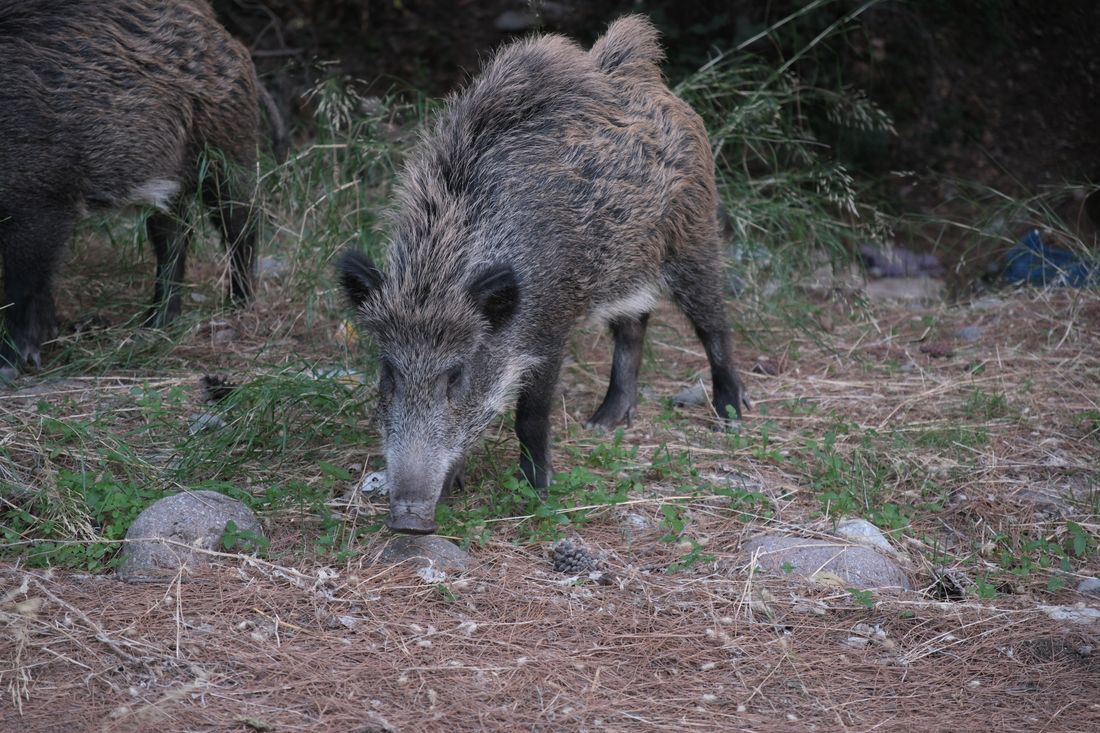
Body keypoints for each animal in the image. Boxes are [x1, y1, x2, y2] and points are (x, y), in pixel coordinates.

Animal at [0, 0, 260, 381]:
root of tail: (216, 26)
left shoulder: (40, 203)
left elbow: (20, 288)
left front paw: (10, 365)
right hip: (168, 180)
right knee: (175, 235)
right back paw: (153, 325)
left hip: (226, 148)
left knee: (241, 223)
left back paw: (238, 306)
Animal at [339, 15, 749, 534]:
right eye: (388, 371)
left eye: (456, 374)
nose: (409, 519)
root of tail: (641, 69)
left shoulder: (550, 326)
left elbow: (530, 415)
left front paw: (537, 490)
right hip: (627, 269)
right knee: (634, 326)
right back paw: (603, 423)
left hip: (695, 237)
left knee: (714, 323)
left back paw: (731, 416)